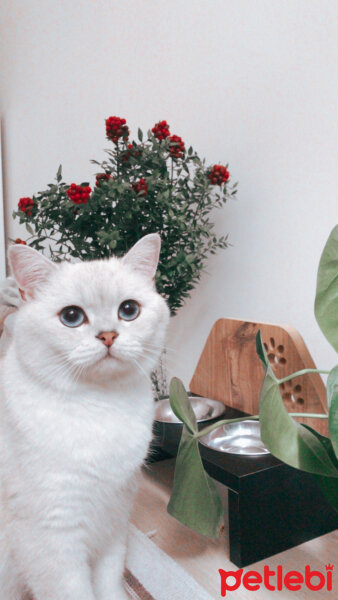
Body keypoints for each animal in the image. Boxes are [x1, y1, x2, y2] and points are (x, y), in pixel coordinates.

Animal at [0, 234, 169, 600]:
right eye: (72, 316)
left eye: (129, 310)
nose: (108, 336)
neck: (101, 405)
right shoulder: (51, 537)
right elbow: (75, 591)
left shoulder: (113, 519)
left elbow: (110, 584)